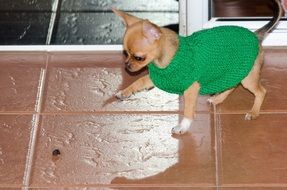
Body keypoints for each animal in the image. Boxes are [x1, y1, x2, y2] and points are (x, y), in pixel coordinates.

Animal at [113, 0, 284, 136]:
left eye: (138, 58)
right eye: (125, 54)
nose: (127, 66)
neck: (170, 59)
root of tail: (256, 35)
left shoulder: (191, 88)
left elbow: (188, 110)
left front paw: (183, 126)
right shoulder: (159, 78)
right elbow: (139, 82)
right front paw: (125, 92)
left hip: (248, 78)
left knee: (261, 92)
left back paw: (254, 112)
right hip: (233, 71)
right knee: (232, 85)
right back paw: (217, 99)